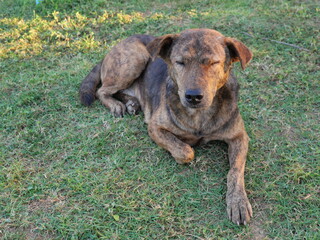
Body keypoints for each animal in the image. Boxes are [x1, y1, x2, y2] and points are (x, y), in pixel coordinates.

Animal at [80, 28, 255, 225]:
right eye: (180, 62)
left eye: (213, 63)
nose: (193, 96)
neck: (199, 115)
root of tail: (119, 43)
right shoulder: (155, 127)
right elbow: (185, 151)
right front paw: (184, 149)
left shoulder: (239, 137)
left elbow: (235, 171)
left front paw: (238, 201)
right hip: (136, 58)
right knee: (101, 90)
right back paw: (116, 105)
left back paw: (132, 102)